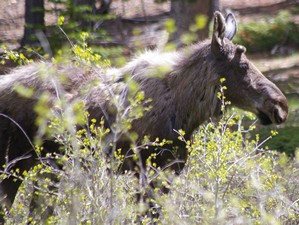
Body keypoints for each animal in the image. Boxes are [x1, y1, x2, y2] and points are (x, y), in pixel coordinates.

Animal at [0, 11, 290, 219]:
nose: (281, 105)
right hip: (15, 162)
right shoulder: (148, 170)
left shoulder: (169, 171)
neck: (186, 110)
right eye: (242, 66)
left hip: (45, 167)